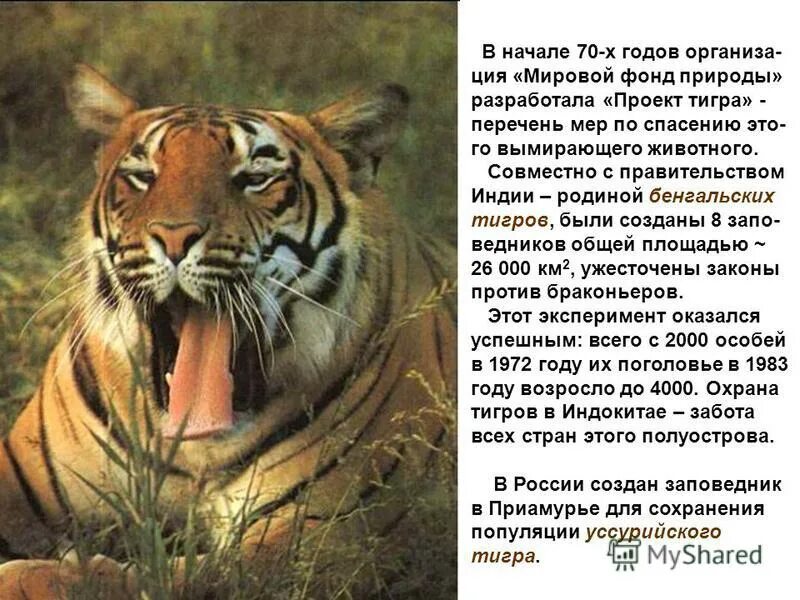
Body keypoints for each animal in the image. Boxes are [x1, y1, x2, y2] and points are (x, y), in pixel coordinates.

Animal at [0, 64, 455, 599]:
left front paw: (36, 575)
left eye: (254, 180)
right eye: (143, 177)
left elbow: (168, 578)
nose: (174, 236)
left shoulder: (324, 531)